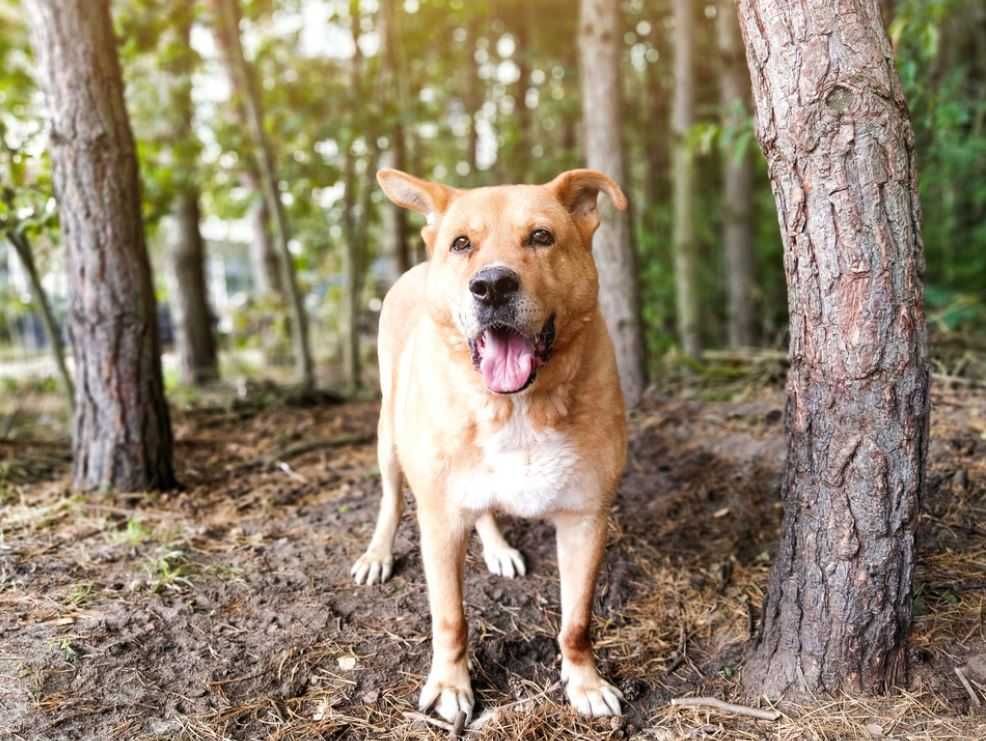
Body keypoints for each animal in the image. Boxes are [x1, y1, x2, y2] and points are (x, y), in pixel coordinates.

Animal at [352, 166, 632, 716]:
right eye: (462, 243)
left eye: (541, 236)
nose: (492, 286)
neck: (517, 406)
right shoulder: (440, 522)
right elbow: (450, 618)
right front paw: (450, 685)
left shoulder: (586, 517)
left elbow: (576, 622)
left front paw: (584, 682)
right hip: (389, 438)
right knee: (391, 500)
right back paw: (377, 554)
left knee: (482, 509)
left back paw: (498, 548)